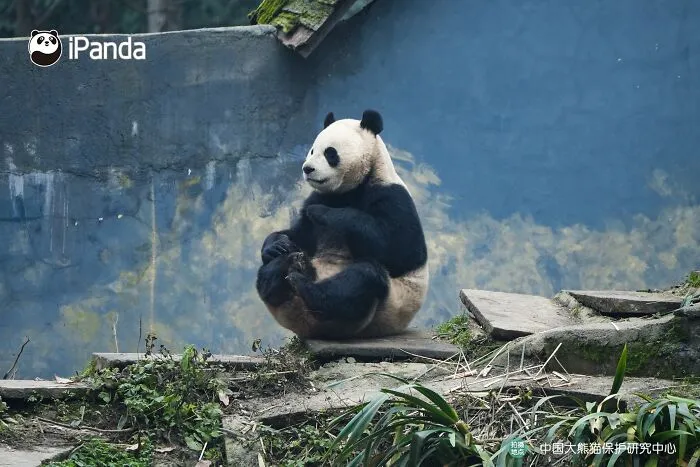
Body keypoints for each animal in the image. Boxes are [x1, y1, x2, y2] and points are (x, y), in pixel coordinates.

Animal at [256, 109, 429, 339]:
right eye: (312, 150)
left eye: (330, 153)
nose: (307, 169)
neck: (349, 189)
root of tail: (309, 326)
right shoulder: (319, 196)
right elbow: (298, 234)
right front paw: (277, 245)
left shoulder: (392, 196)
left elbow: (402, 251)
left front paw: (321, 213)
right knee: (268, 270)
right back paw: (284, 268)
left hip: (385, 304)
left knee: (363, 277)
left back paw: (306, 287)